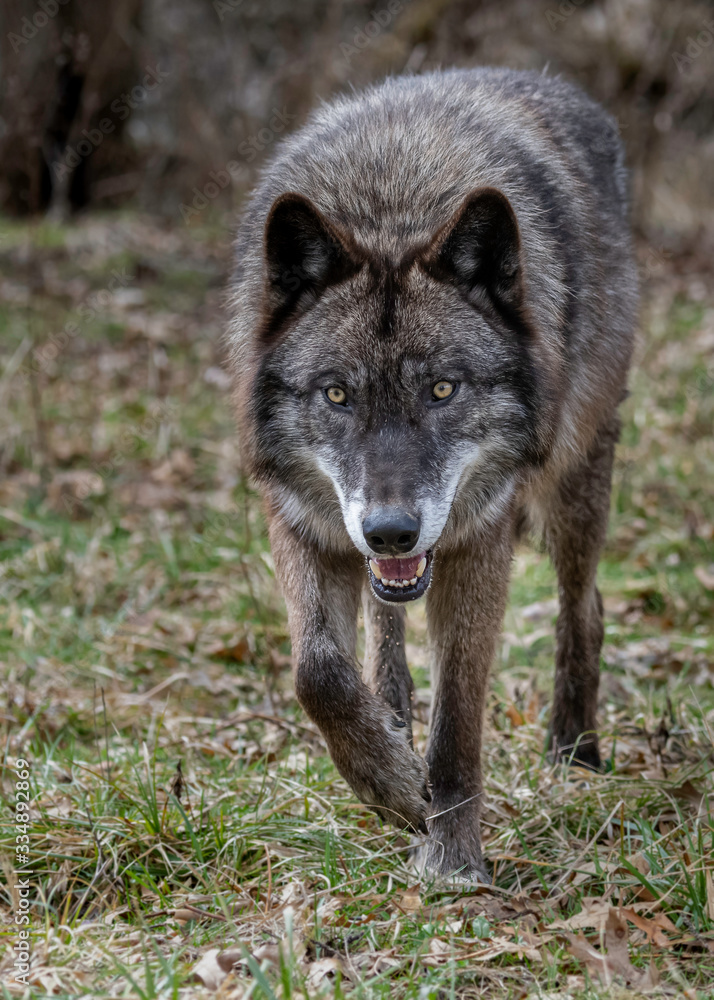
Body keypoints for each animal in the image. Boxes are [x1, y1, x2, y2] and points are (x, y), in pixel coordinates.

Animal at [228, 68, 636, 884]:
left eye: (443, 390)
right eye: (337, 394)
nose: (392, 530)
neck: (391, 209)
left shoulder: (482, 538)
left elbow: (459, 719)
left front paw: (450, 858)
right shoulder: (301, 516)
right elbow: (318, 671)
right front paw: (387, 782)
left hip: (575, 483)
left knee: (586, 607)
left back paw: (575, 751)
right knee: (383, 635)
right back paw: (390, 720)